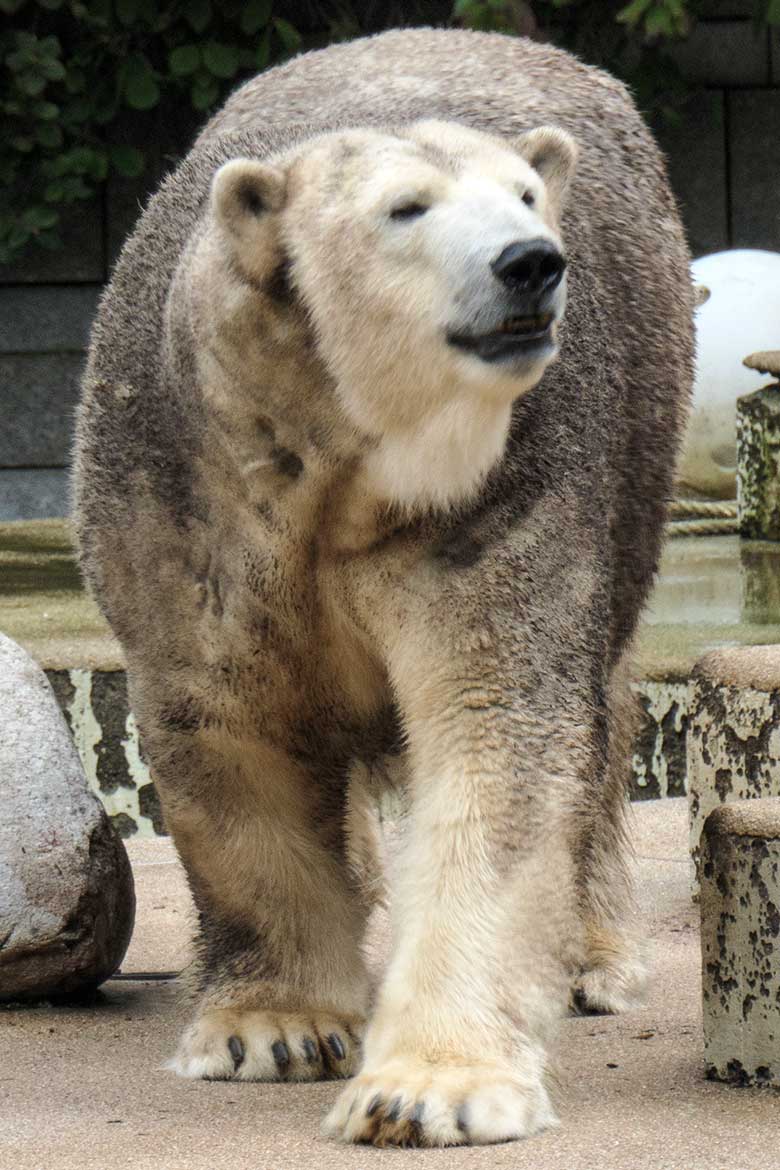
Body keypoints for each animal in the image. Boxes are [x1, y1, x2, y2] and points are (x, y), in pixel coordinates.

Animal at [73, 27, 696, 1151]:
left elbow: (497, 733)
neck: (338, 460)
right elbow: (230, 723)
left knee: (603, 707)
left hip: (642, 451)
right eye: (406, 208)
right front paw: (272, 1030)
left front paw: (427, 1089)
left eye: (525, 194)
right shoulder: (181, 487)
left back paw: (589, 959)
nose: (532, 263)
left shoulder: (505, 487)